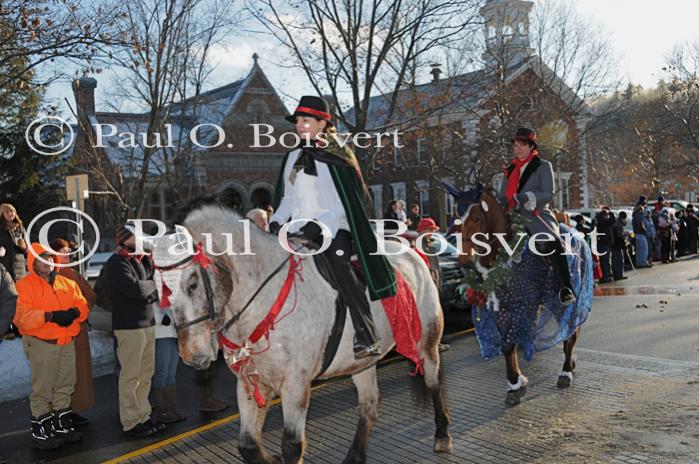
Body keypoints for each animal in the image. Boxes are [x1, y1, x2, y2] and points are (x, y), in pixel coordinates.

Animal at [168, 199, 454, 464]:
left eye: (192, 284)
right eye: (163, 290)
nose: (191, 355)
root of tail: (412, 253)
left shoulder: (296, 383)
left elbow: (292, 446)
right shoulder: (250, 381)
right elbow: (247, 445)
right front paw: (271, 459)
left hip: (427, 341)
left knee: (433, 381)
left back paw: (442, 435)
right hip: (361, 362)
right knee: (370, 403)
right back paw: (355, 456)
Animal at [456, 187, 588, 404]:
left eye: (476, 217)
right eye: (458, 218)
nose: (464, 260)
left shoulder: (521, 306)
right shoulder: (503, 308)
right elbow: (507, 345)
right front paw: (515, 384)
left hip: (563, 300)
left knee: (571, 332)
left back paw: (566, 371)